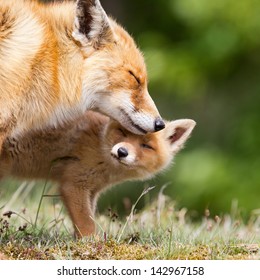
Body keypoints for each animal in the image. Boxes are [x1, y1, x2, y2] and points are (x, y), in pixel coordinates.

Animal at [0, 111, 195, 236]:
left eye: (146, 146)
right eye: (122, 132)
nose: (122, 152)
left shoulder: (92, 190)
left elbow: (88, 218)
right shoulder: (73, 186)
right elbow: (86, 223)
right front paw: (91, 245)